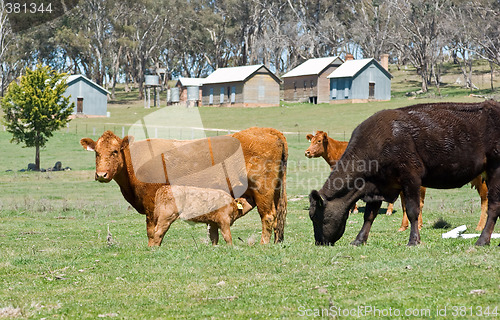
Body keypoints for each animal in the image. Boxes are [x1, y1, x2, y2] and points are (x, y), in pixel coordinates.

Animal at [80, 126, 288, 246]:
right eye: (97, 152)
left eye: (115, 151)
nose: (101, 175)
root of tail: (269, 131)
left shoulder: (151, 203)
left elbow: (152, 230)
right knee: (279, 215)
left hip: (263, 189)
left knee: (268, 216)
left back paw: (263, 244)